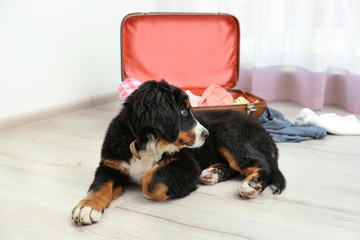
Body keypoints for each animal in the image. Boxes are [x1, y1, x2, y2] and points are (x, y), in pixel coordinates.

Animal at [71, 79, 286, 226]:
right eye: (182, 112)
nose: (205, 134)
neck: (146, 142)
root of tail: (263, 130)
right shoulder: (111, 165)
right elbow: (99, 187)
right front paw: (87, 207)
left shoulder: (186, 164)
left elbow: (151, 182)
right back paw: (213, 173)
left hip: (229, 135)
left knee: (260, 164)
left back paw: (250, 184)